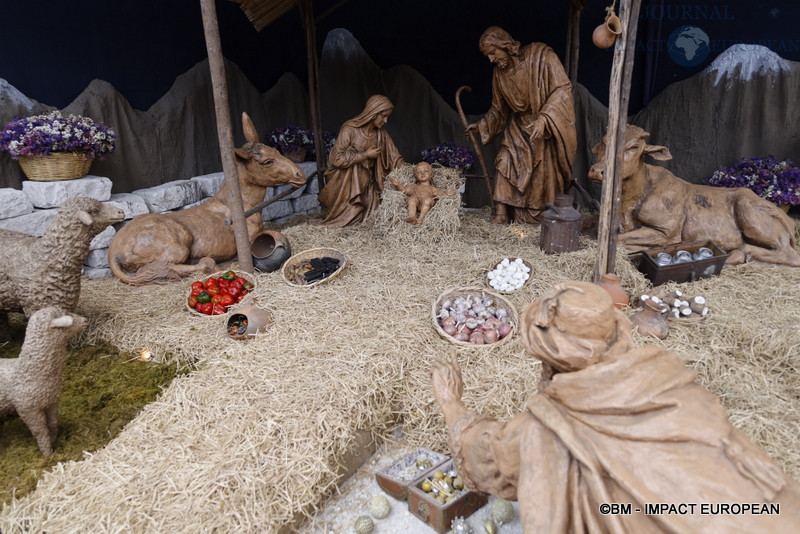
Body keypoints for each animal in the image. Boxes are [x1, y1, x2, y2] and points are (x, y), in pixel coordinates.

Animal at [0, 308, 87, 454]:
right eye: (66, 314)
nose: (85, 320)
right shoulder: (28, 409)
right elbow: (40, 431)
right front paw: (47, 453)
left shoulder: (51, 401)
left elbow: (52, 423)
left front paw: (53, 440)